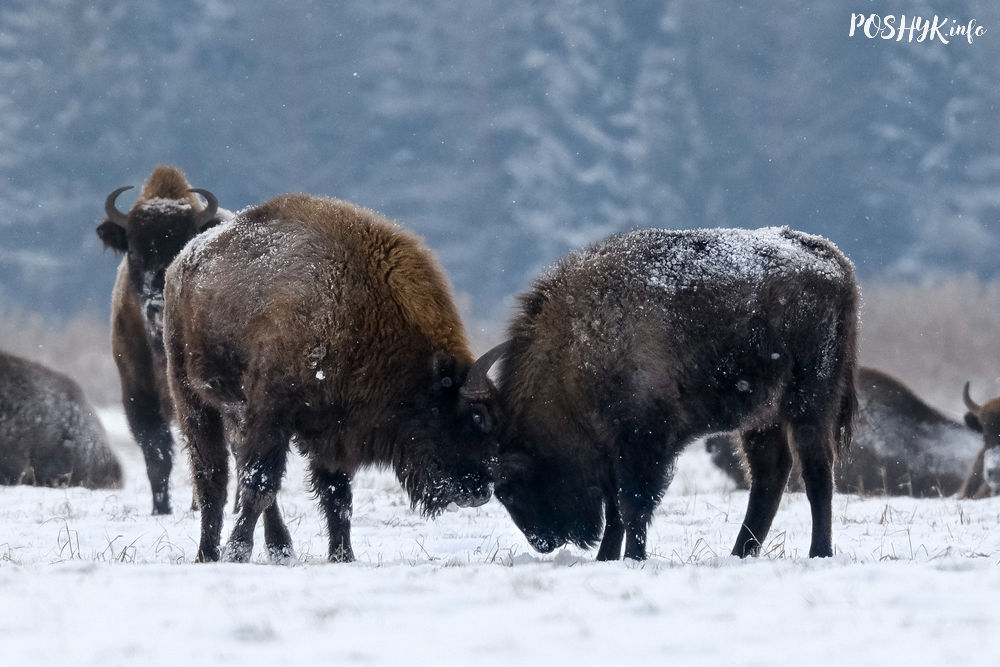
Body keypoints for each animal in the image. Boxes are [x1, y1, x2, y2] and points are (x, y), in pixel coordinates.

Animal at [95, 163, 229, 516]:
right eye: (132, 249)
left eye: (183, 244)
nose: (158, 303)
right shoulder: (137, 391)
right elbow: (156, 450)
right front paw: (160, 508)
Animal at [165, 192, 504, 564]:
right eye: (472, 416)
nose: (480, 491)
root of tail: (180, 262)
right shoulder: (271, 412)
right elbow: (260, 486)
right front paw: (237, 552)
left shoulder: (334, 429)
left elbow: (337, 496)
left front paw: (344, 556)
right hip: (192, 398)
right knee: (212, 477)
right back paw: (209, 553)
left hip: (235, 413)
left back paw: (280, 548)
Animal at [484, 227, 860, 560]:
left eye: (509, 490)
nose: (542, 542)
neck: (581, 343)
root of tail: (833, 259)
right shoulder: (616, 452)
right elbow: (616, 510)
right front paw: (606, 558)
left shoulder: (642, 443)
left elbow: (632, 506)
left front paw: (633, 558)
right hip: (761, 417)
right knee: (770, 473)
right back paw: (740, 552)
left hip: (809, 403)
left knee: (816, 473)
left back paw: (819, 552)